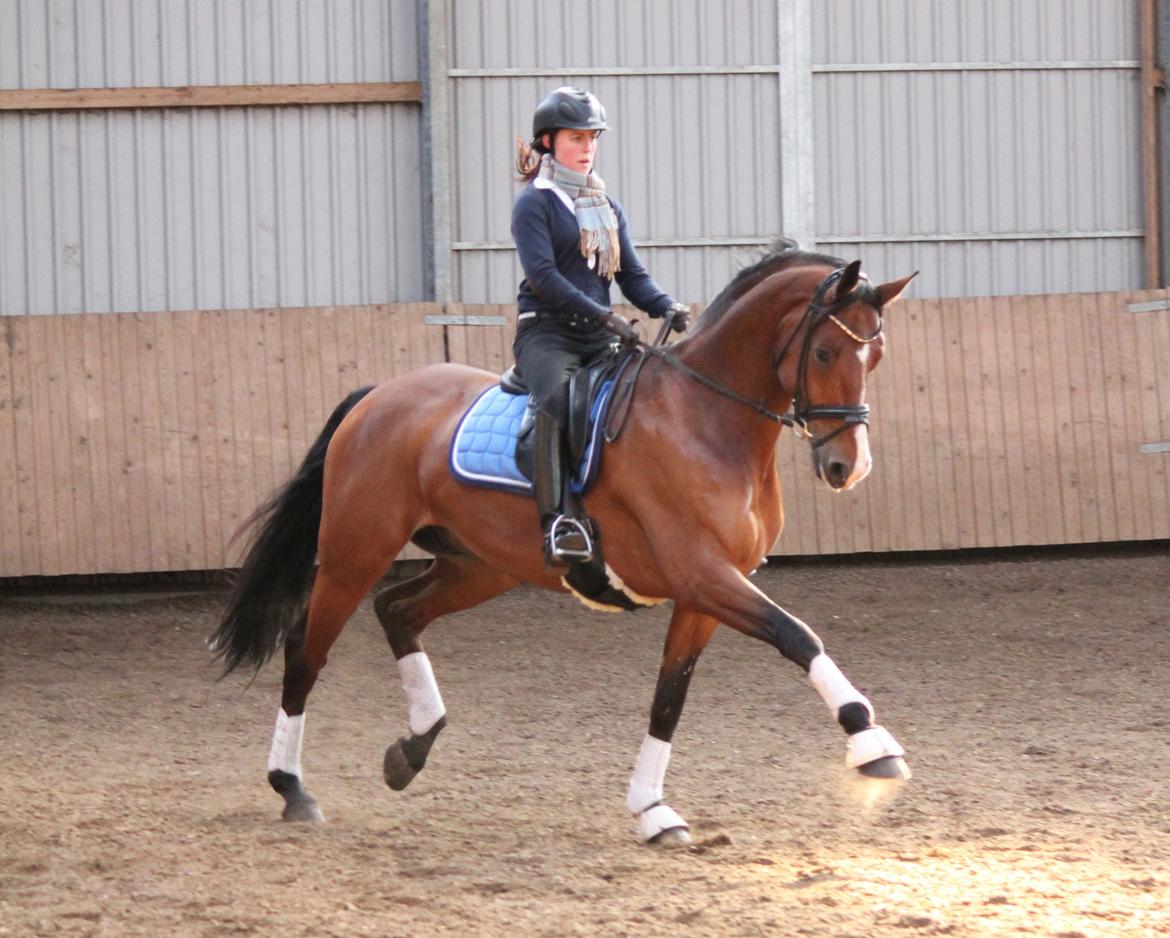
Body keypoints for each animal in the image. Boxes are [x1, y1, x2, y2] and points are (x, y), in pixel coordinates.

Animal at [215, 239, 917, 842]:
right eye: (825, 354)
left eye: (875, 358)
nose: (847, 468)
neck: (707, 420)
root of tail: (378, 396)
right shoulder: (704, 574)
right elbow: (798, 635)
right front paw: (872, 745)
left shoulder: (704, 595)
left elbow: (669, 699)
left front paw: (653, 810)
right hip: (353, 554)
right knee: (306, 651)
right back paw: (292, 788)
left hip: (481, 566)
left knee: (398, 610)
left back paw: (412, 747)